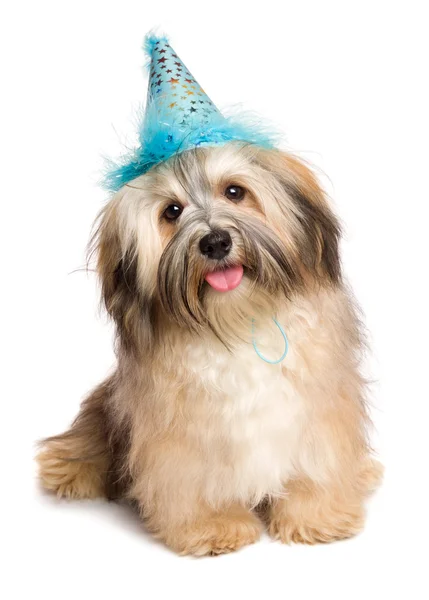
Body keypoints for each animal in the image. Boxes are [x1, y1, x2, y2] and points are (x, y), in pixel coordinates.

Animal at [36, 143, 382, 556]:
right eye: (172, 211)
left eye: (234, 191)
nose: (215, 242)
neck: (239, 324)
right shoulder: (182, 435)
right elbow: (196, 482)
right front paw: (214, 525)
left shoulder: (319, 411)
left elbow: (317, 466)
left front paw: (317, 517)